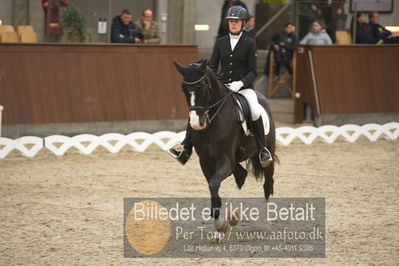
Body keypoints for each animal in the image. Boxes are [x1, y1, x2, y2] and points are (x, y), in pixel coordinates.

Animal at [173, 59, 280, 234]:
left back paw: (266, 224)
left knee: (267, 184)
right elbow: (213, 186)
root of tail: (262, 98)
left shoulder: (225, 161)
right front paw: (220, 223)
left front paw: (219, 223)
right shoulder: (206, 161)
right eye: (183, 89)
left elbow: (214, 184)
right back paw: (232, 215)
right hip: (235, 160)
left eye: (202, 87)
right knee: (242, 175)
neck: (212, 121)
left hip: (265, 155)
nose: (196, 124)